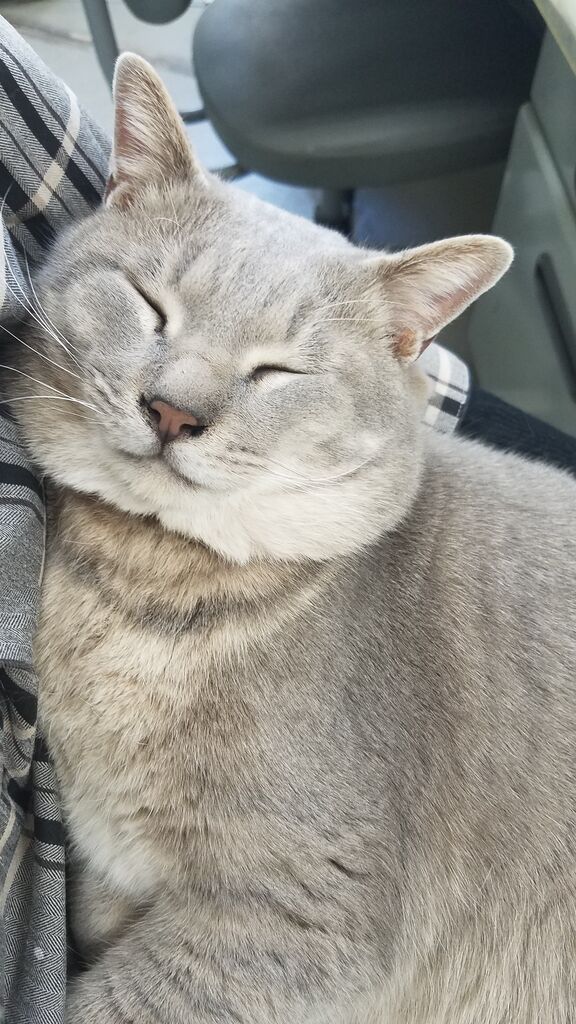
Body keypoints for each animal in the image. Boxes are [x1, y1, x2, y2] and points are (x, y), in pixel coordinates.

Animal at [8, 51, 576, 1024]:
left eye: (279, 371)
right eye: (150, 305)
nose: (173, 411)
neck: (138, 591)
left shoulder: (291, 918)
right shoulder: (110, 875)